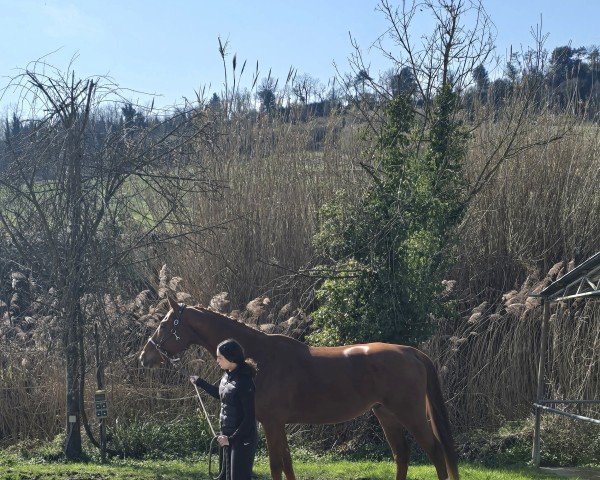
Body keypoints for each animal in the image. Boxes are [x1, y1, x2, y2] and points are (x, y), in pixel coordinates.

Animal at [139, 296, 460, 480]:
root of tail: (411, 352)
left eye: (166, 325)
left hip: (410, 414)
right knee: (401, 454)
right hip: (386, 414)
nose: (145, 356)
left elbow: (276, 465)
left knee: (435, 452)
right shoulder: (277, 424)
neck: (260, 357)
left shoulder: (271, 422)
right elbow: (286, 464)